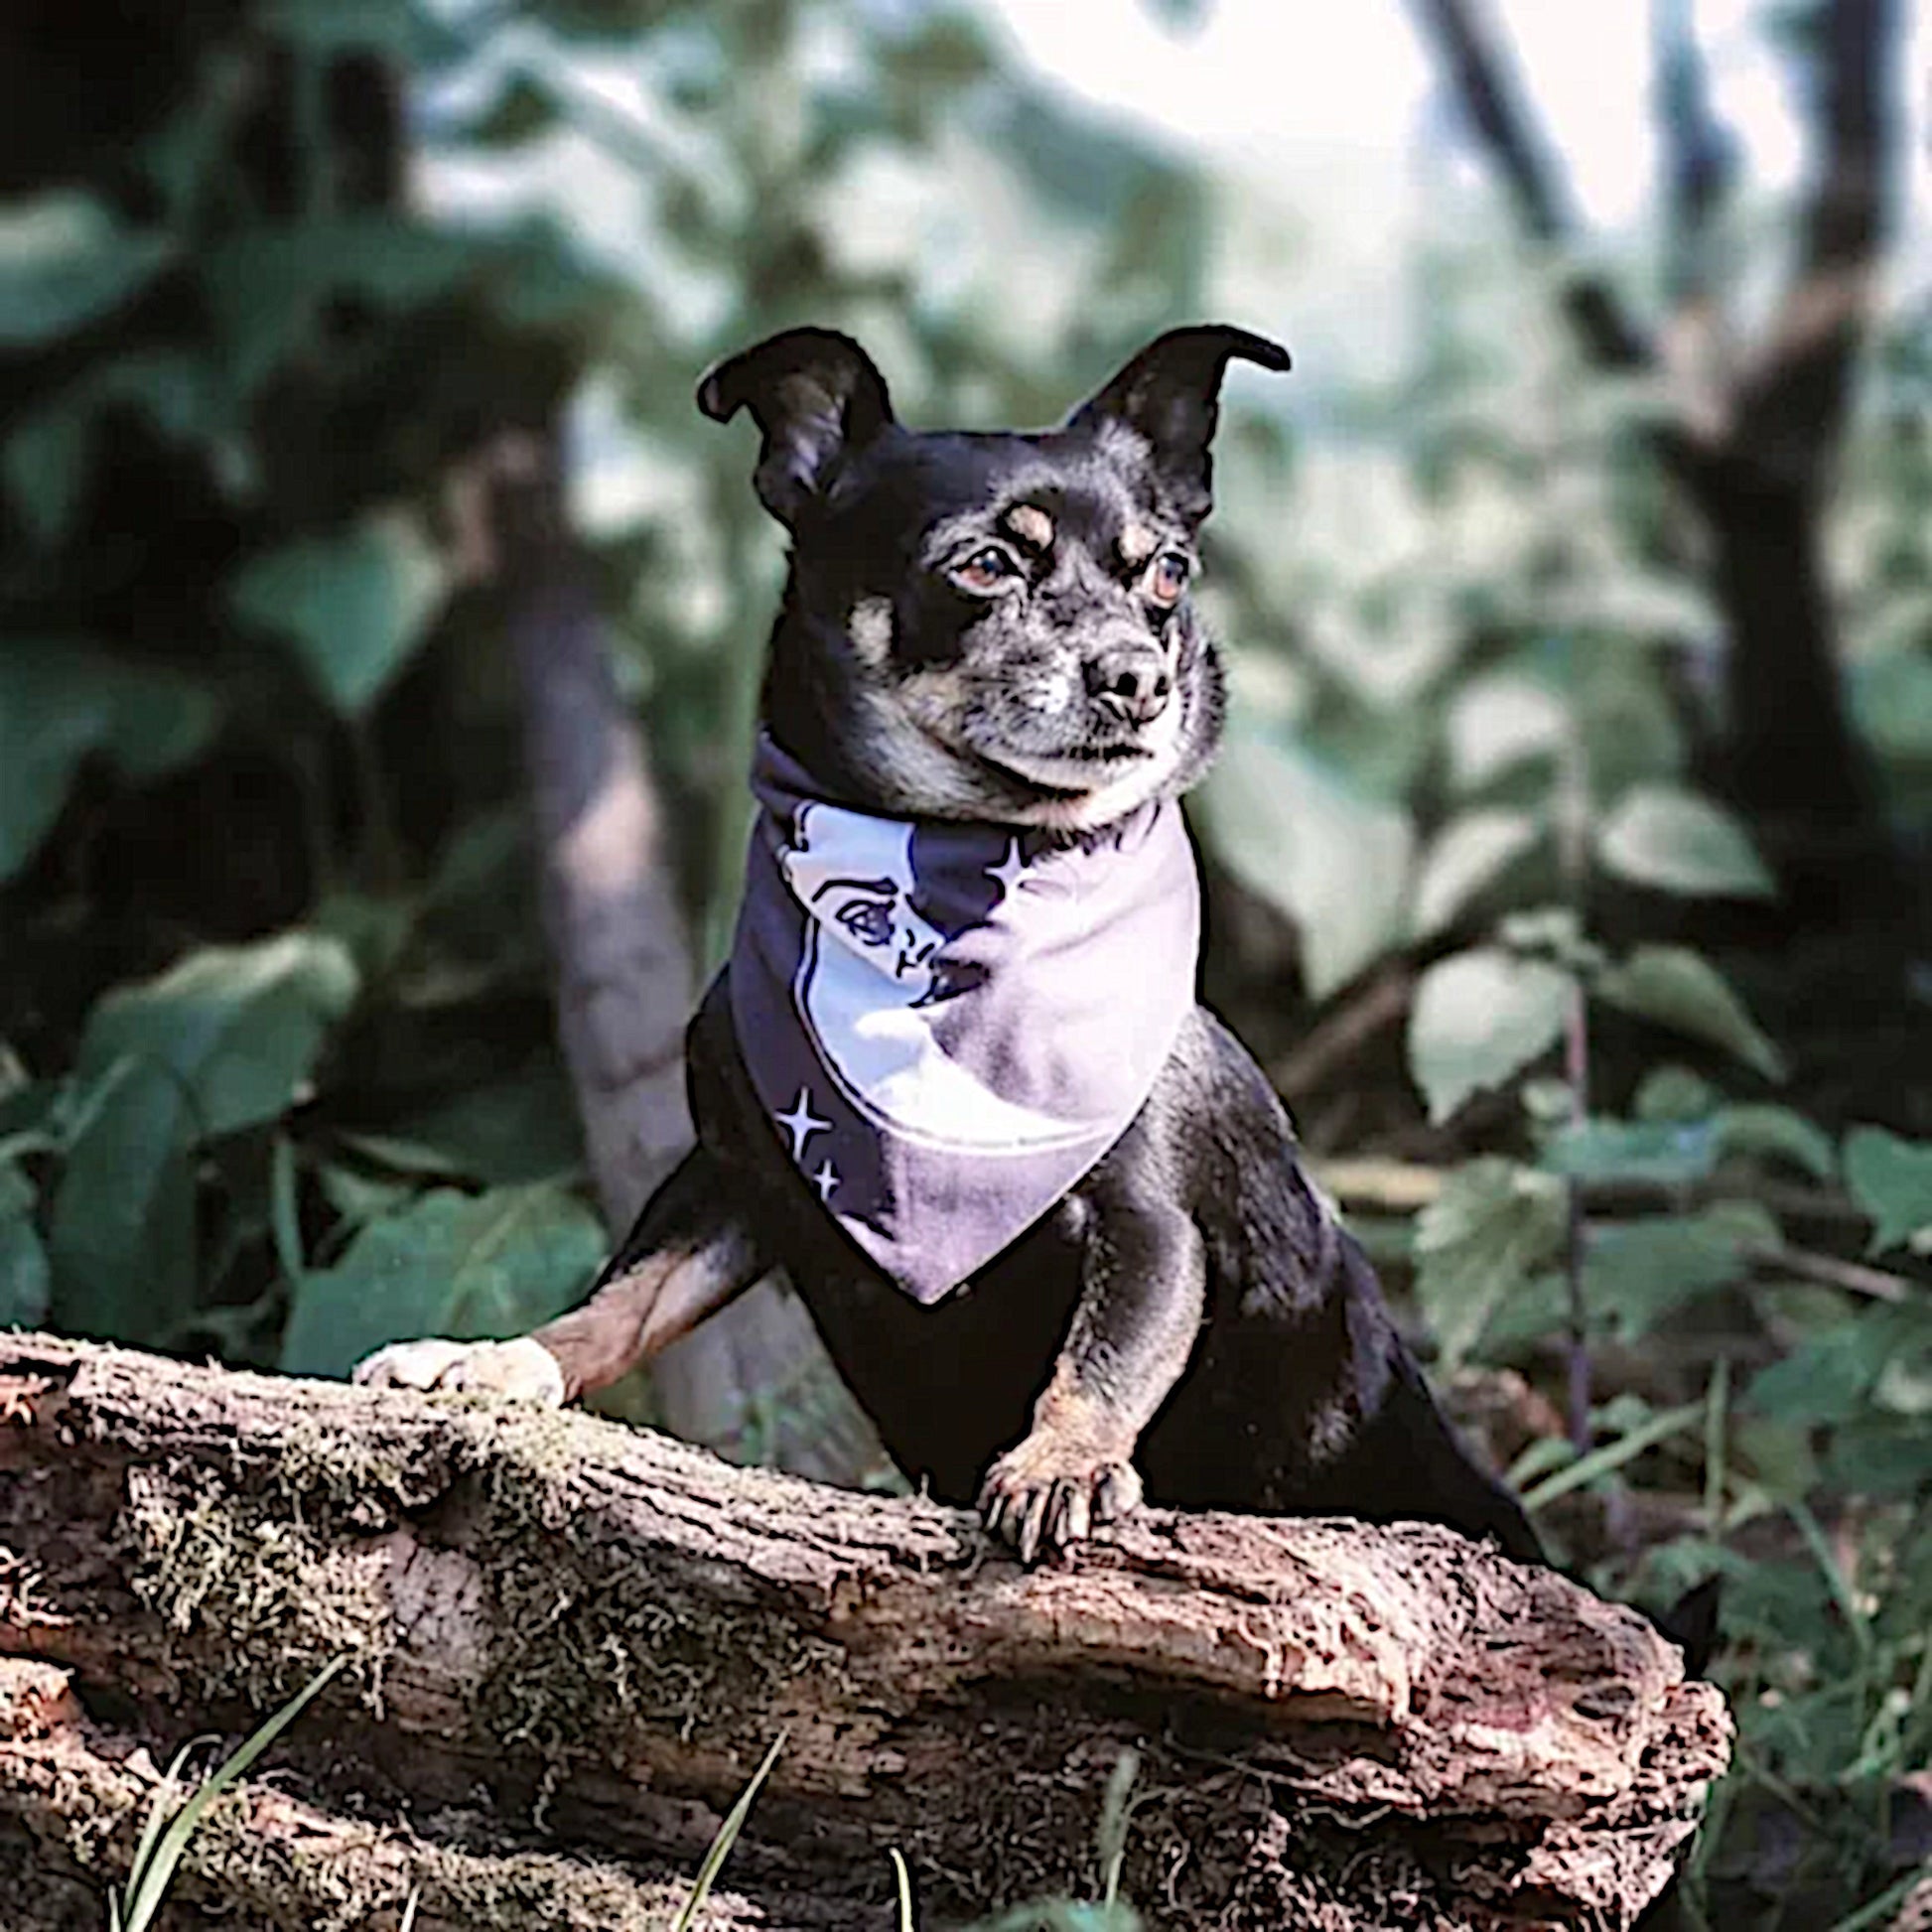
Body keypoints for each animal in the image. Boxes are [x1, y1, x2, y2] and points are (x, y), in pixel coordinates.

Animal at [355, 328, 1545, 1569]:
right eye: (982, 566)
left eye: (1167, 574)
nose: (1138, 676)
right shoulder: (734, 1179)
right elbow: (624, 1293)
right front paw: (496, 1362)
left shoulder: (1149, 1227)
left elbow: (1108, 1353)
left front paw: (1060, 1461)